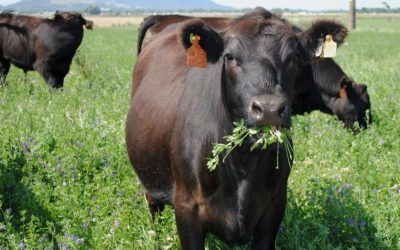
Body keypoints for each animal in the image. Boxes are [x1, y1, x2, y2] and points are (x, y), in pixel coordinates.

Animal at [126, 7, 348, 248]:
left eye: (294, 57)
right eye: (230, 57)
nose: (269, 109)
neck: (243, 164)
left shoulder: (274, 208)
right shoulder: (187, 209)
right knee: (152, 203)